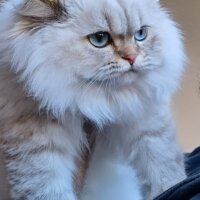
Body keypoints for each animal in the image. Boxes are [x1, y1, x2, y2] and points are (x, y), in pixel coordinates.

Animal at [0, 0, 186, 199]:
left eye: (140, 35)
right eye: (99, 39)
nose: (132, 58)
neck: (101, 101)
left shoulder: (149, 126)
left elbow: (166, 175)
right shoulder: (38, 150)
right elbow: (50, 190)